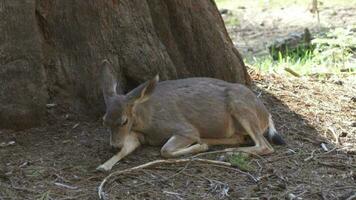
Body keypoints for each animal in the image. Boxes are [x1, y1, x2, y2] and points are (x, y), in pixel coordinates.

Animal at [96, 60, 286, 171]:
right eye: (104, 122)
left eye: (124, 121)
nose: (113, 145)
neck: (145, 120)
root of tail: (266, 114)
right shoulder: (137, 135)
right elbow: (126, 149)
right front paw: (103, 166)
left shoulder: (184, 129)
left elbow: (165, 150)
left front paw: (199, 147)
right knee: (241, 138)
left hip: (240, 106)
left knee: (265, 145)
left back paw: (226, 153)